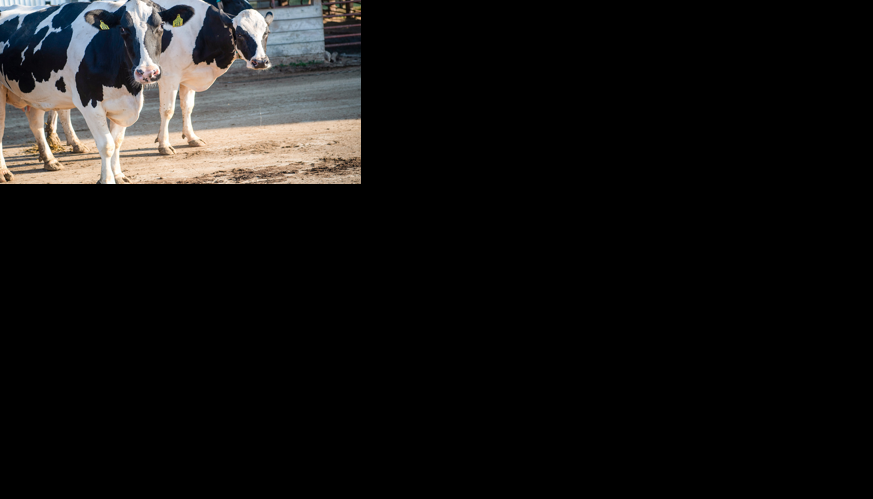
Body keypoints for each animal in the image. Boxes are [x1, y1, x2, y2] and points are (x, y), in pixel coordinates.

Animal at [0, 0, 194, 184]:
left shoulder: (122, 104)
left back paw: (50, 160)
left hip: (36, 91)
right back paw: (4, 173)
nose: (147, 72)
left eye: (160, 26)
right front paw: (107, 179)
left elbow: (117, 142)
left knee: (35, 122)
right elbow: (107, 145)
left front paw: (118, 175)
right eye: (123, 28)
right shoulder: (89, 102)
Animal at [43, 0, 273, 158]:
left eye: (266, 33)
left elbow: (187, 107)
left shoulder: (186, 76)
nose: (261, 62)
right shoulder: (169, 76)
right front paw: (164, 144)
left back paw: (69, 142)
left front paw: (191, 137)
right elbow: (168, 110)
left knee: (61, 108)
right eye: (240, 34)